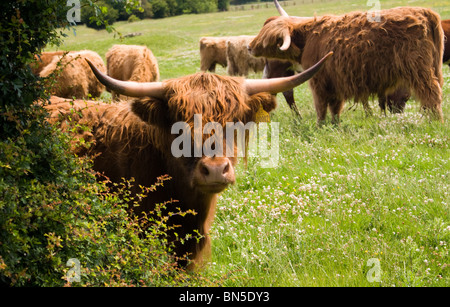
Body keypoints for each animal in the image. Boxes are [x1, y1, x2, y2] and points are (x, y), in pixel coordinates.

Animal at [248, 1, 444, 124]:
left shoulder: (318, 81)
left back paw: (436, 122)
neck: (308, 38)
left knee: (431, 94)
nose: (249, 47)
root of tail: (424, 12)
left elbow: (321, 106)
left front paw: (320, 126)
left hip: (419, 70)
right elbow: (335, 107)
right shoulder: (335, 82)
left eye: (268, 39)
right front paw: (335, 125)